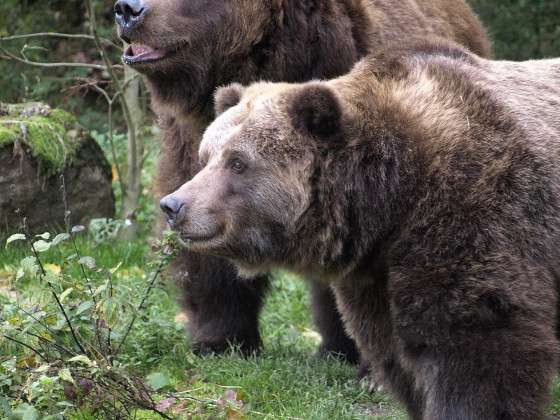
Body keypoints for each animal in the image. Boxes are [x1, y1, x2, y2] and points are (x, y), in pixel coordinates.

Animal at [160, 40, 560, 420]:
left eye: (238, 162)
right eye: (205, 157)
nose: (173, 205)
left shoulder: (477, 213)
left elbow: (477, 347)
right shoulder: (374, 274)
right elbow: (394, 352)